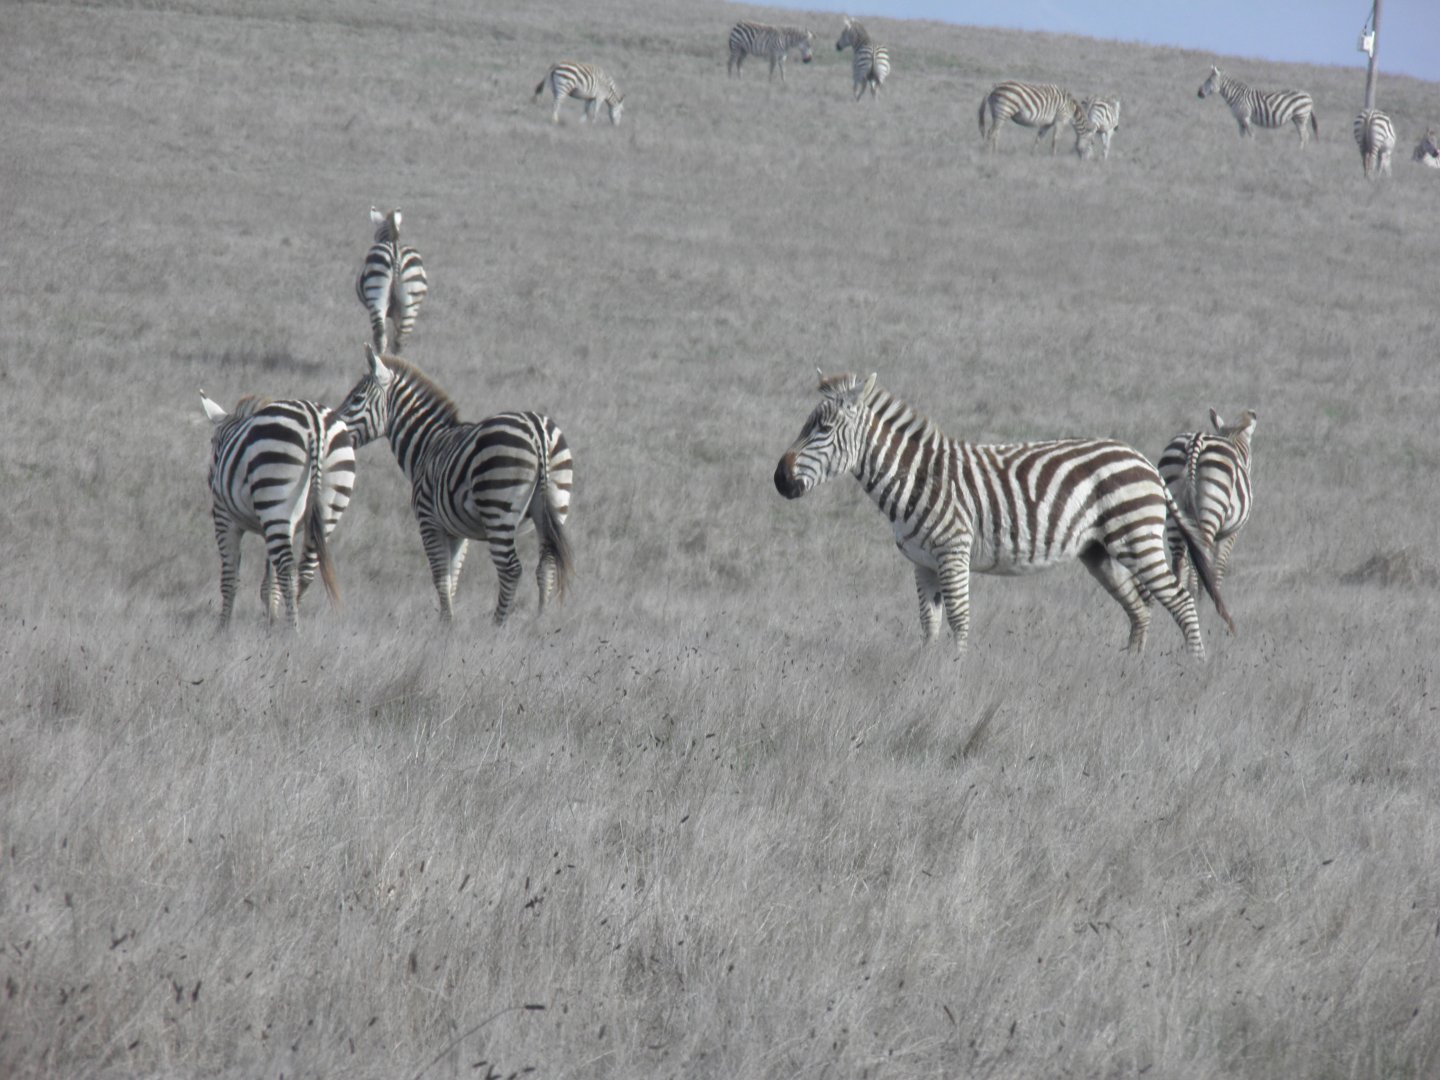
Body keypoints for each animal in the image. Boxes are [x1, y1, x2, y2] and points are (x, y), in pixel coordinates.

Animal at [200, 392, 355, 629]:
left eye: (212, 441)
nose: (210, 479)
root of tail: (315, 423)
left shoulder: (224, 517)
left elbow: (229, 578)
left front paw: (222, 629)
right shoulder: (269, 523)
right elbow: (269, 582)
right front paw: (271, 622)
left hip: (276, 496)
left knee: (287, 570)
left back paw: (292, 632)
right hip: (329, 502)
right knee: (305, 570)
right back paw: (288, 626)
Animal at [336, 346, 573, 626]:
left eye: (357, 398)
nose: (334, 426)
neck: (427, 445)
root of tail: (537, 431)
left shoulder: (429, 521)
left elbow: (441, 576)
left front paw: (446, 625)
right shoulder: (457, 531)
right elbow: (453, 577)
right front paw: (448, 622)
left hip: (498, 507)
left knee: (511, 569)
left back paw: (498, 625)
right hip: (554, 503)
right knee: (546, 564)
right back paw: (540, 621)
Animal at [773, 373, 1232, 656]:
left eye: (823, 430)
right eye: (806, 424)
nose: (779, 479)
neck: (916, 477)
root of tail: (1144, 461)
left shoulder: (952, 553)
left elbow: (959, 619)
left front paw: (954, 678)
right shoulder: (921, 563)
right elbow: (929, 624)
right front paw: (924, 676)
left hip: (1136, 537)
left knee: (1180, 600)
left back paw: (1193, 670)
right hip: (1098, 552)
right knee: (1140, 608)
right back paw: (1130, 671)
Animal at [1158, 409, 1256, 605]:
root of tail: (1196, 441)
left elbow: (1191, 560)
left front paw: (1191, 589)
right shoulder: (1231, 533)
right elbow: (1218, 565)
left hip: (1172, 507)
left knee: (1179, 559)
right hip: (1211, 507)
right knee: (1203, 555)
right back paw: (1204, 598)